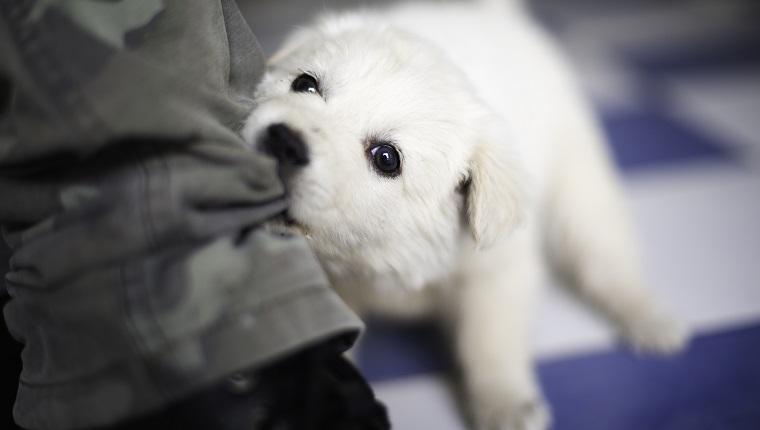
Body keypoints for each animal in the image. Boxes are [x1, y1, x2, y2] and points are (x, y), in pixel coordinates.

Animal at [245, 1, 688, 428]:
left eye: (386, 158)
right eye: (305, 84)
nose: (284, 141)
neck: (377, 252)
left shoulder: (498, 273)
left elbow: (490, 339)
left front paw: (506, 403)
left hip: (577, 181)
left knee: (605, 253)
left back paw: (647, 316)